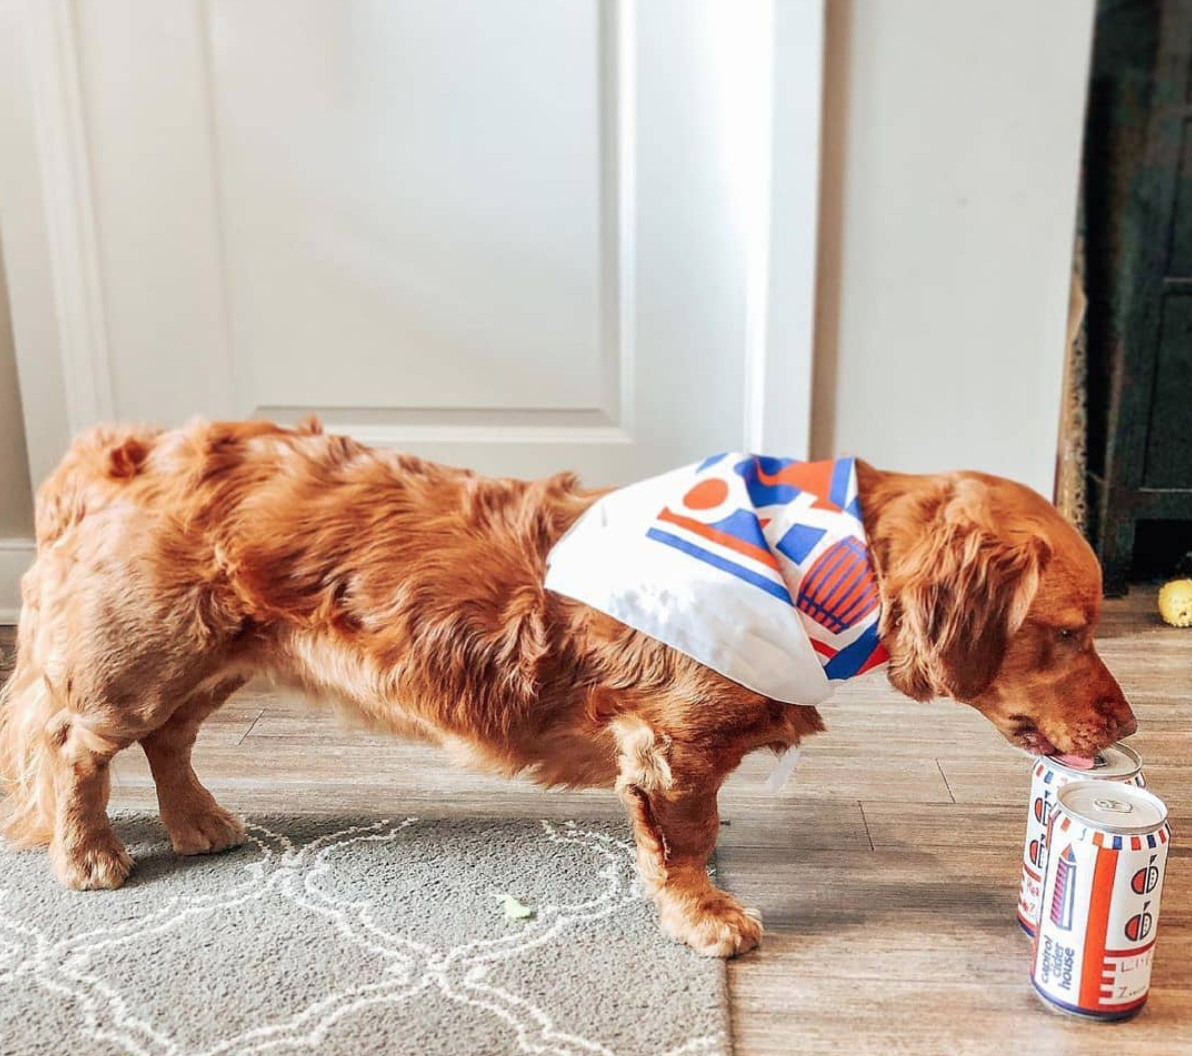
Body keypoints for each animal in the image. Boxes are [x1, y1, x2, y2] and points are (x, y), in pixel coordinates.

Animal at [0, 419, 1134, 958]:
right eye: (1068, 631)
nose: (1127, 722)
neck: (805, 564)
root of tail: (118, 451)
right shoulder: (673, 744)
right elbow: (680, 843)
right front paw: (706, 917)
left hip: (212, 659)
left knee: (169, 742)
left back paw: (198, 821)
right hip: (142, 657)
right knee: (75, 746)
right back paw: (90, 853)